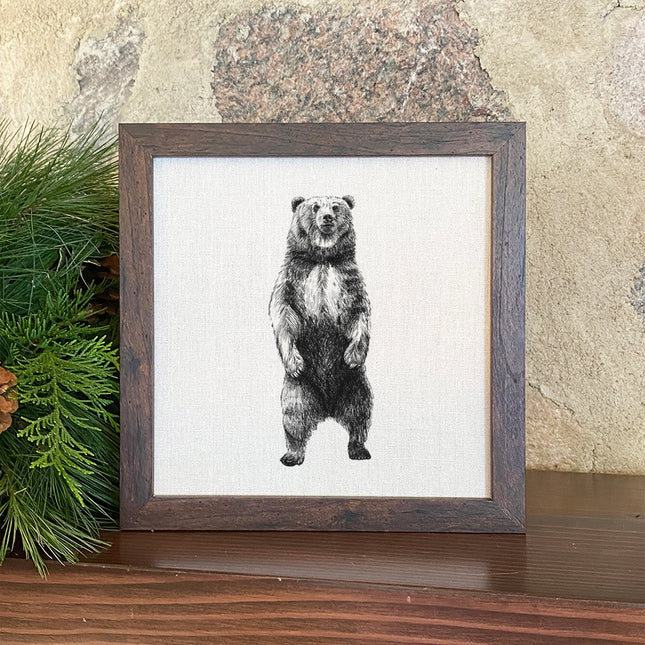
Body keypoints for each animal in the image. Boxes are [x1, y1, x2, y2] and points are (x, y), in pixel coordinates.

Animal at [269, 195, 373, 466]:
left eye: (336, 206)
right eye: (315, 206)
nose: (327, 217)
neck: (323, 258)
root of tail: (327, 410)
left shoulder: (347, 279)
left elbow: (360, 313)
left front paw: (352, 356)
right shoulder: (294, 277)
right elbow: (282, 312)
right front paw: (294, 361)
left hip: (355, 385)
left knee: (360, 414)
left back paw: (359, 449)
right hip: (299, 390)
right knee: (294, 418)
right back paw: (292, 454)